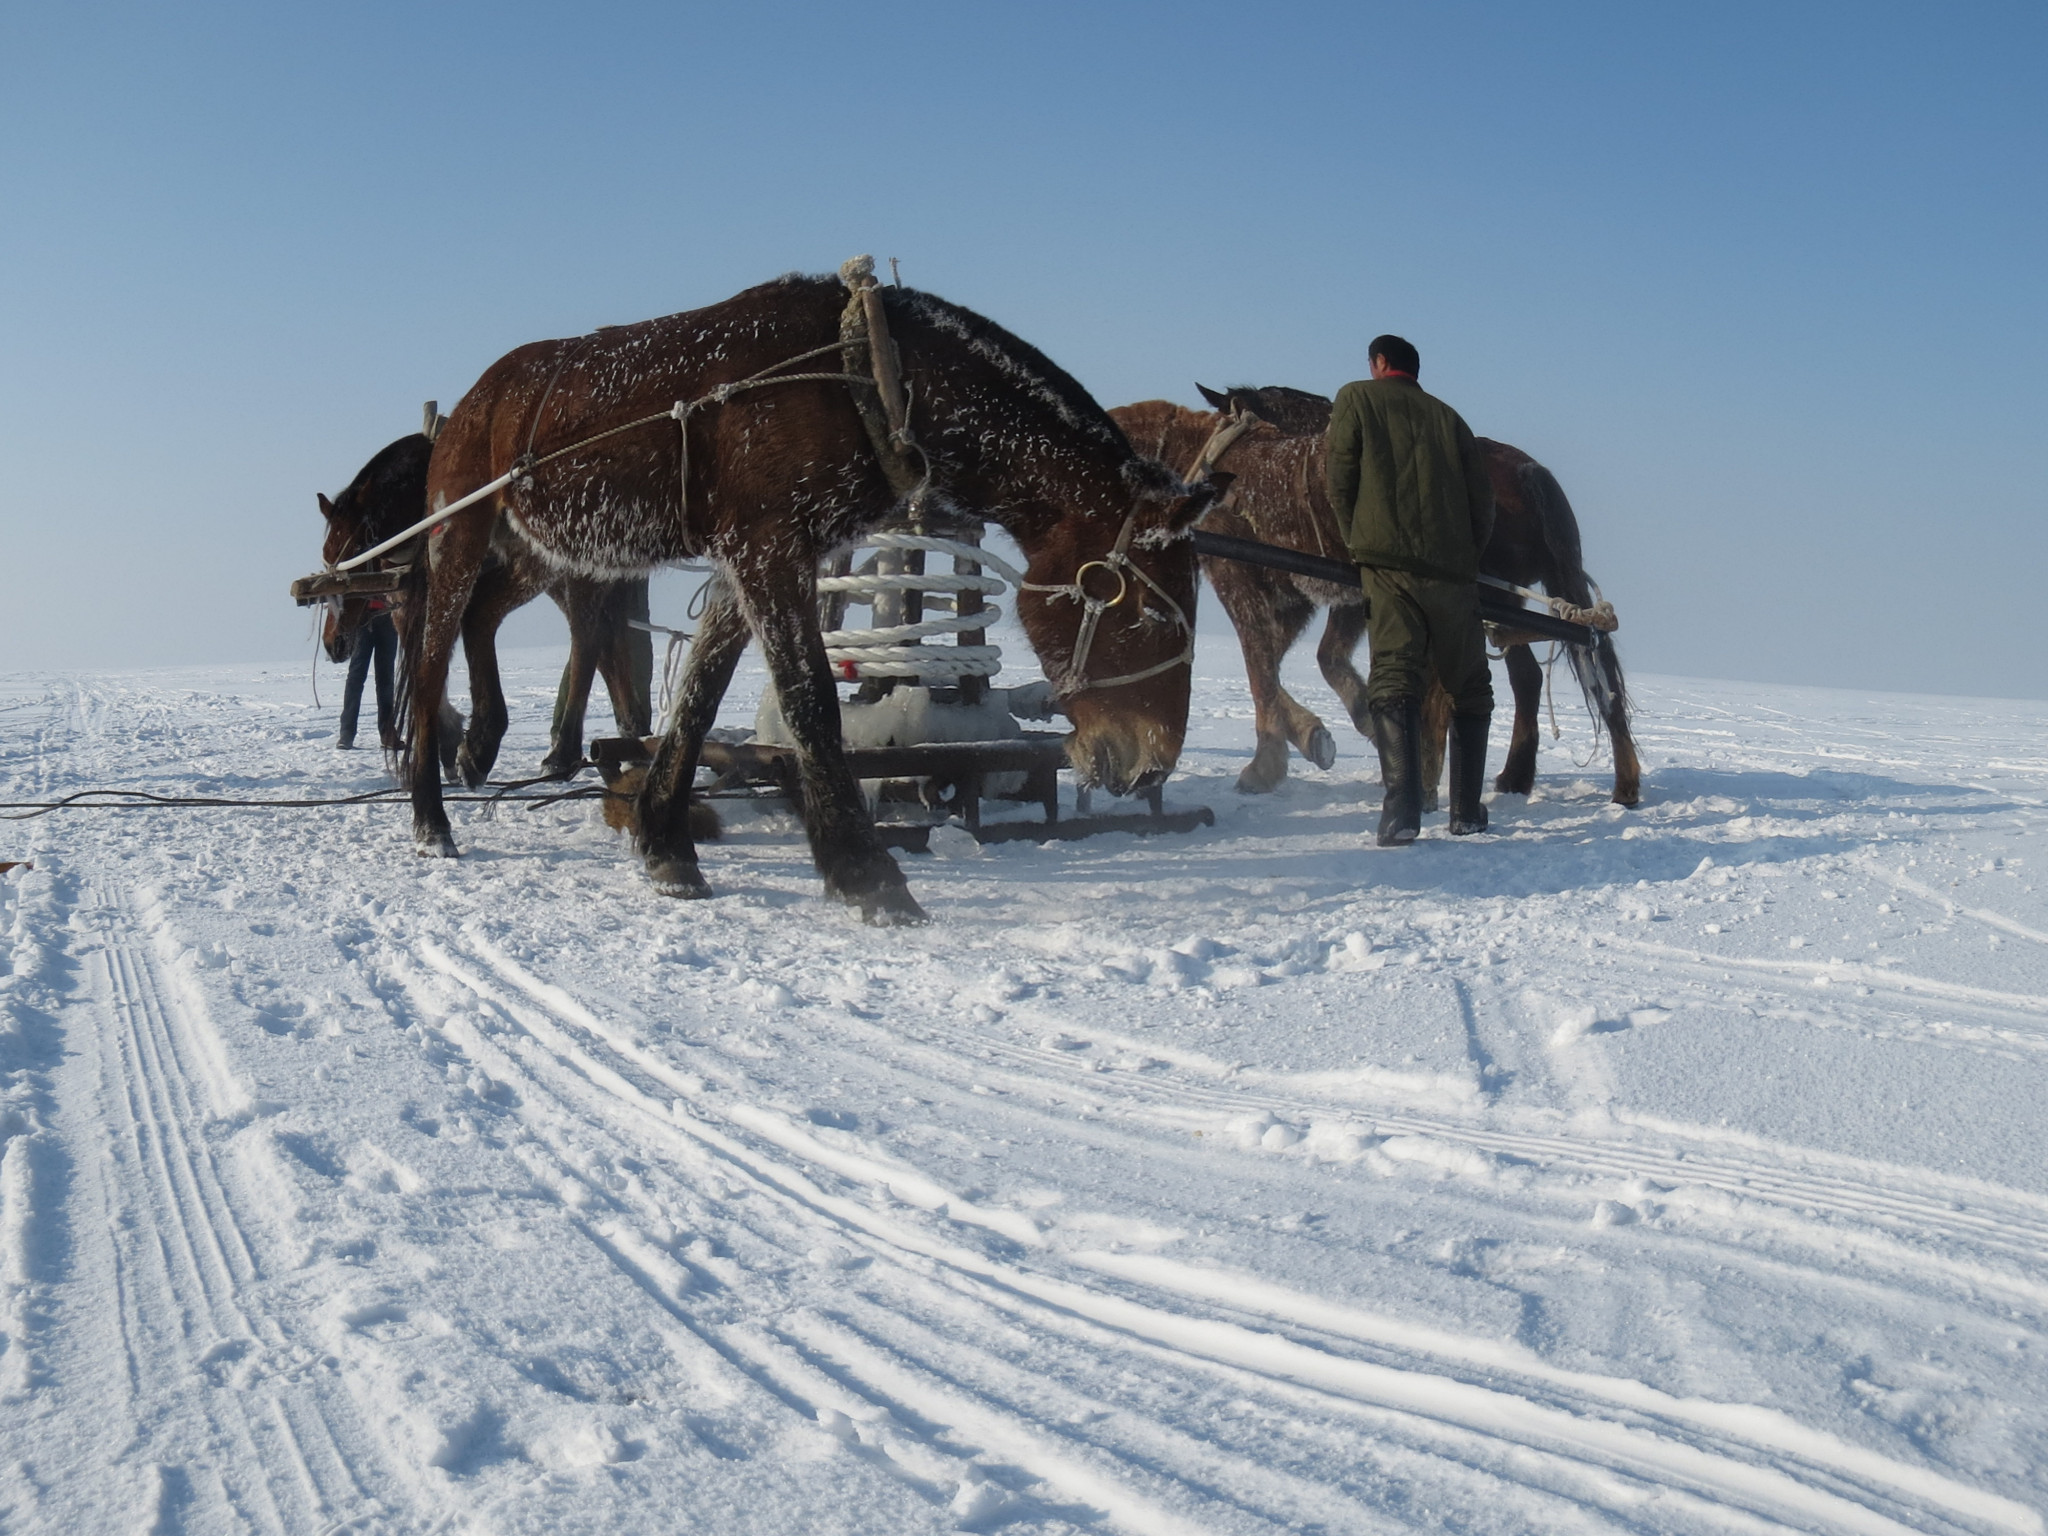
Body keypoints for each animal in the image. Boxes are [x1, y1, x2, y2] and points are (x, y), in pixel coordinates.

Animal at [317, 430, 647, 782]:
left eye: (357, 547)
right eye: (326, 553)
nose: (333, 642)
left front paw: (449, 740)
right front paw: (448, 740)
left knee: (586, 639)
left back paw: (564, 753)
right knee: (605, 644)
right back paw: (630, 737)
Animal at [407, 262, 1220, 925]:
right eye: (1143, 609)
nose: (1151, 762)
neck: (869, 380)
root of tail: (472, 400)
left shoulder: (750, 560)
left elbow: (698, 702)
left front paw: (666, 843)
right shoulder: (769, 549)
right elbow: (810, 704)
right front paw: (865, 874)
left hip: (535, 551)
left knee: (482, 619)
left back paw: (479, 743)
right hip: (463, 533)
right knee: (430, 652)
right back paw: (429, 813)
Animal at [1114, 387, 1638, 806]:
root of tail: (1529, 471)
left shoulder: (1247, 580)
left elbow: (1262, 666)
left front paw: (1271, 760)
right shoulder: (1316, 596)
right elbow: (1298, 661)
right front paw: (1330, 729)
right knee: (1571, 662)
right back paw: (1582, 779)